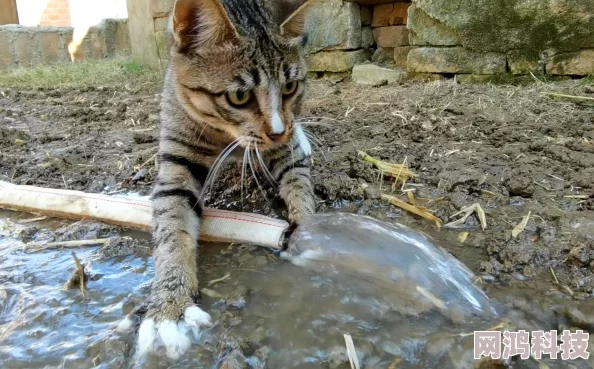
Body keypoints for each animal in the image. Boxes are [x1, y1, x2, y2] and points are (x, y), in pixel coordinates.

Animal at [128, 0, 316, 360]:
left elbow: (298, 181)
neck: (225, 136)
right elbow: (171, 226)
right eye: (239, 96)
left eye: (289, 87)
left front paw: (315, 231)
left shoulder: (284, 145)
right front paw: (170, 307)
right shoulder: (179, 157)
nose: (277, 131)